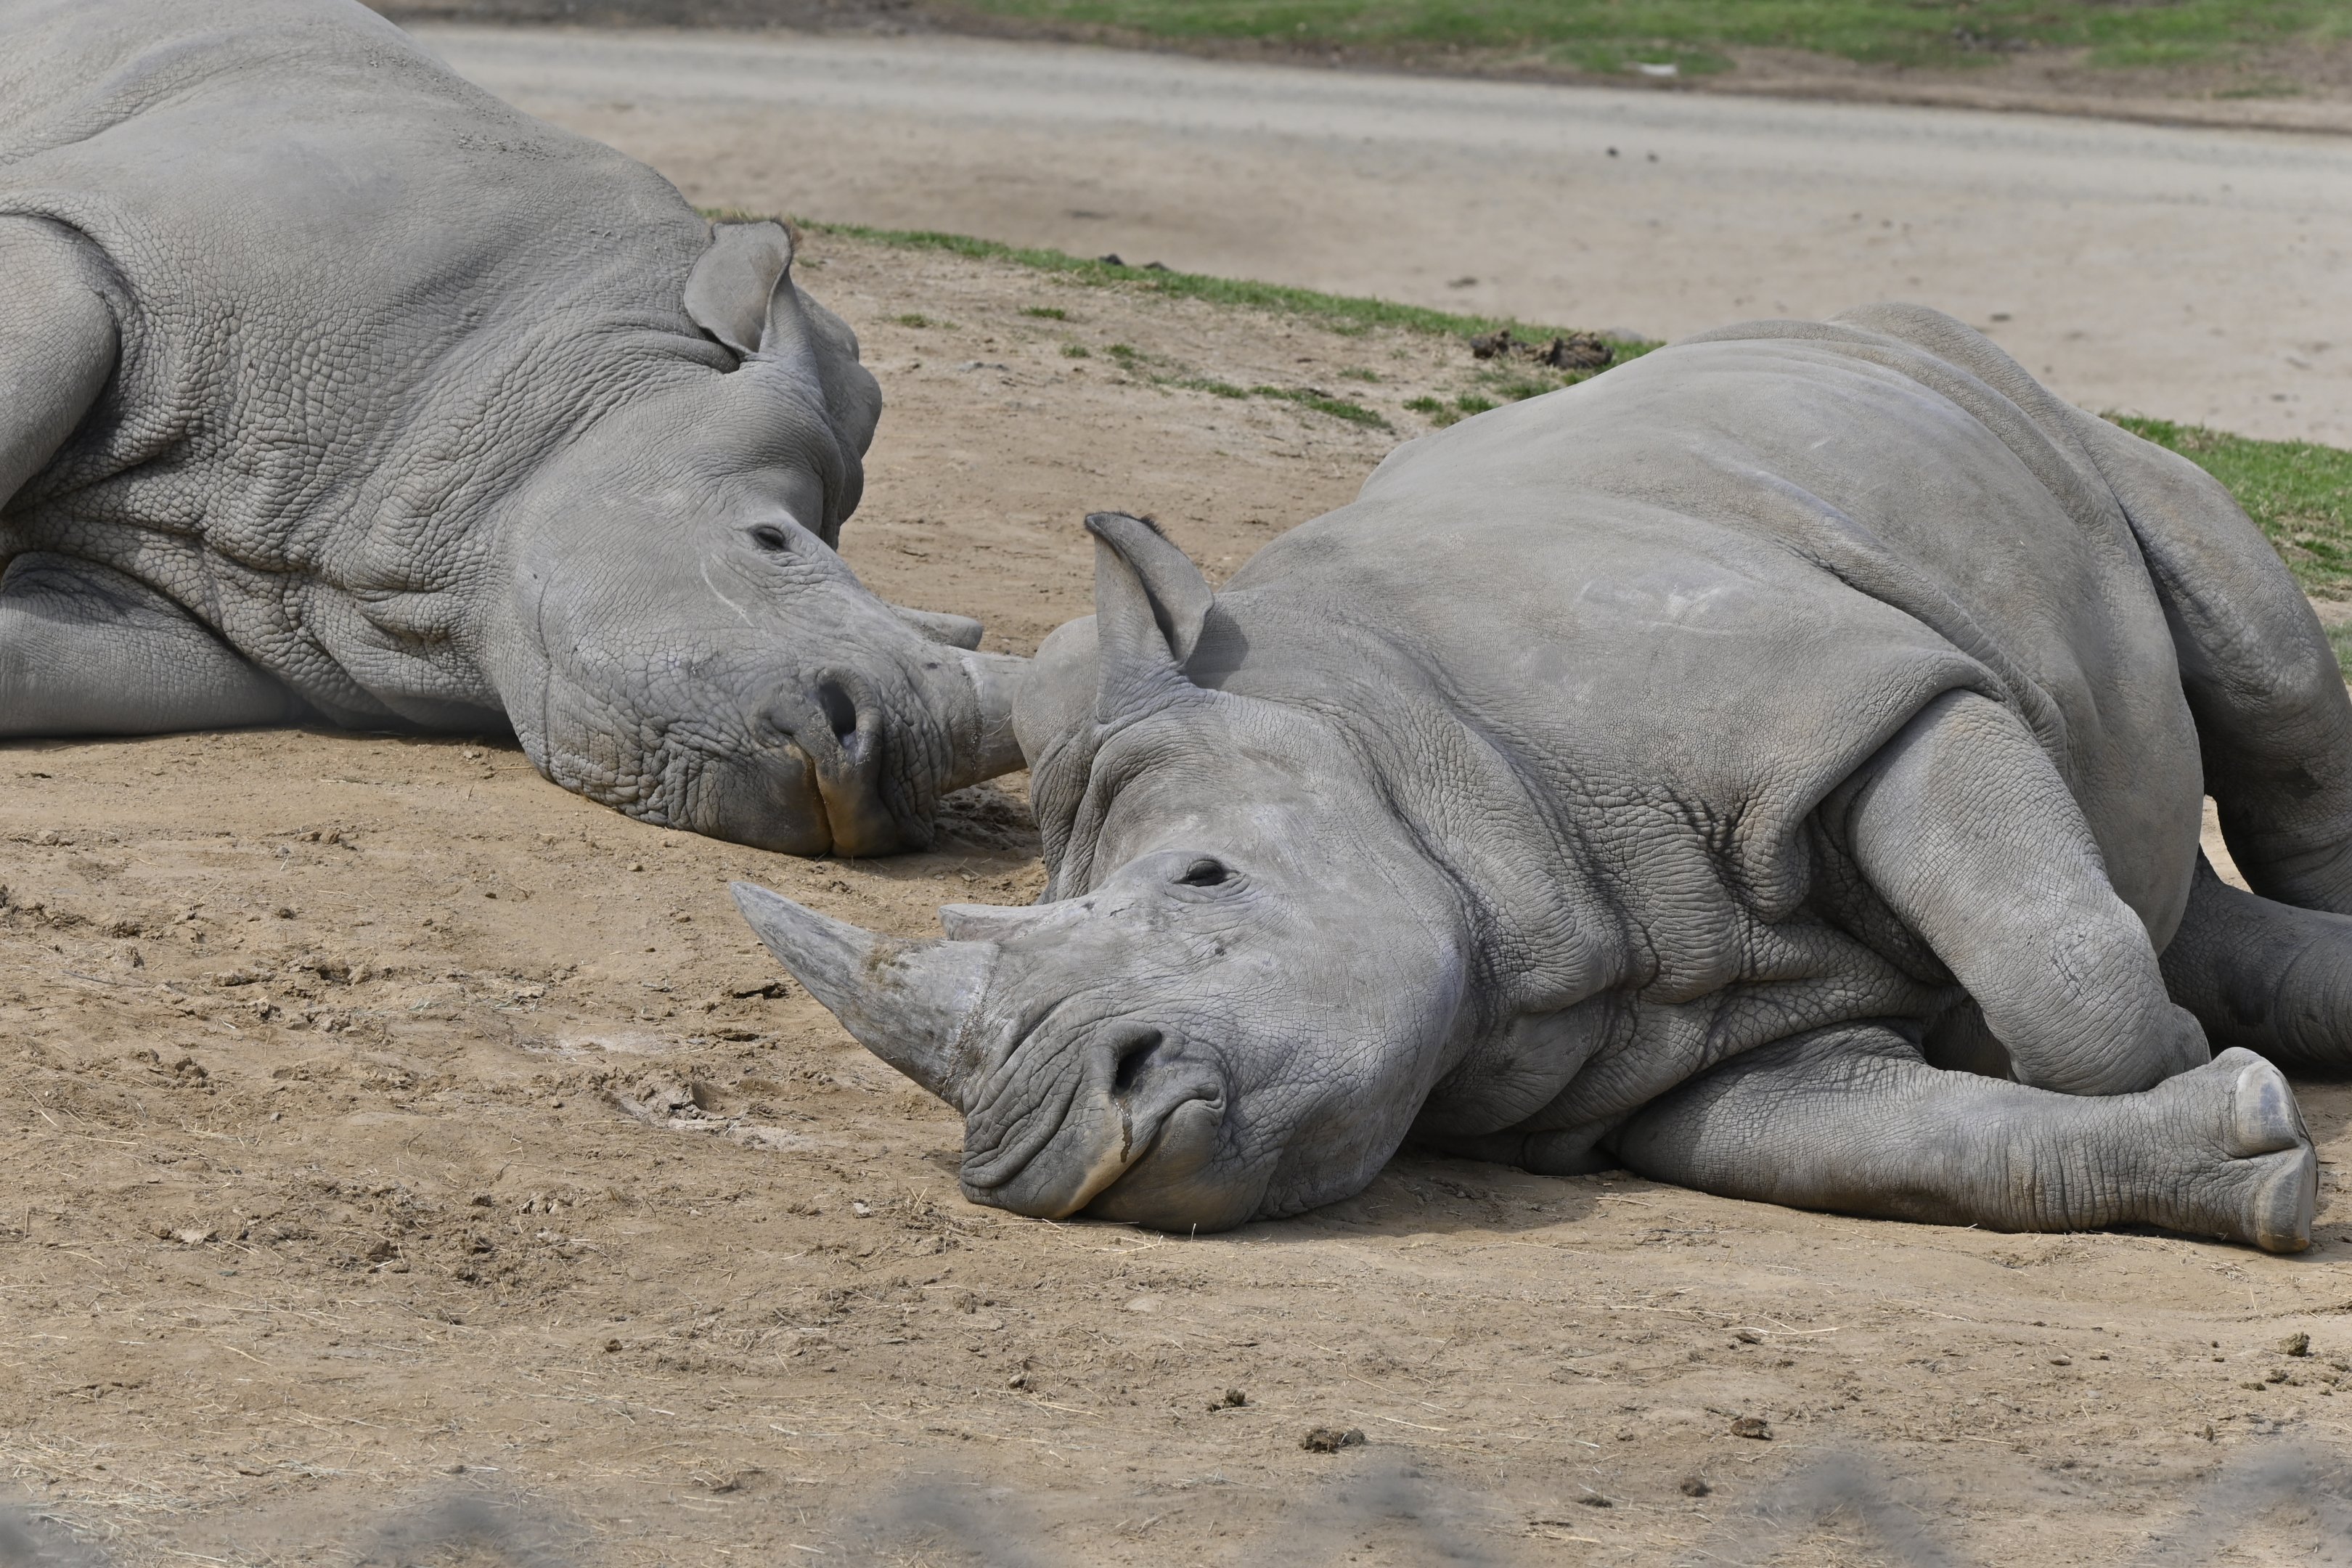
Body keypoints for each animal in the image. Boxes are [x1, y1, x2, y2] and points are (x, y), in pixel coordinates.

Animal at [736, 303, 2343, 1253]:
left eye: (1206, 877)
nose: (1038, 1144)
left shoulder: (1863, 701)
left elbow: (2069, 985)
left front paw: (2169, 1055)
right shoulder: (1717, 1072)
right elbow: (1938, 1145)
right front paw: (2247, 1142)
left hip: (2030, 407)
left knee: (2262, 673)